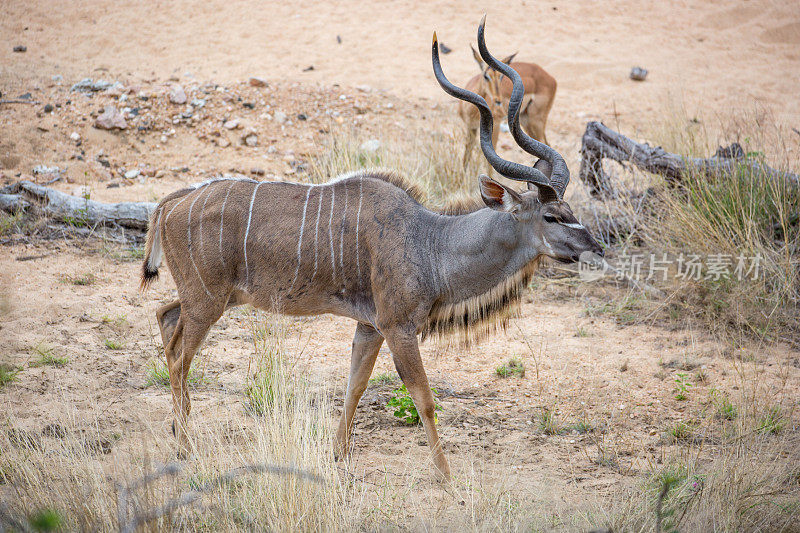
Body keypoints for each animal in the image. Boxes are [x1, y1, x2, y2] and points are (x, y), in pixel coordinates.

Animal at [141, 18, 600, 480]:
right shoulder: (399, 327)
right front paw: (446, 477)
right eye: (551, 216)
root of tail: (173, 202)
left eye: (569, 209)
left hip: (213, 298)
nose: (594, 246)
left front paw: (338, 456)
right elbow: (424, 399)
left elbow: (355, 386)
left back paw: (180, 431)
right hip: (208, 301)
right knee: (179, 357)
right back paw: (185, 446)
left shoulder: (369, 326)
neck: (428, 241)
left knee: (165, 316)